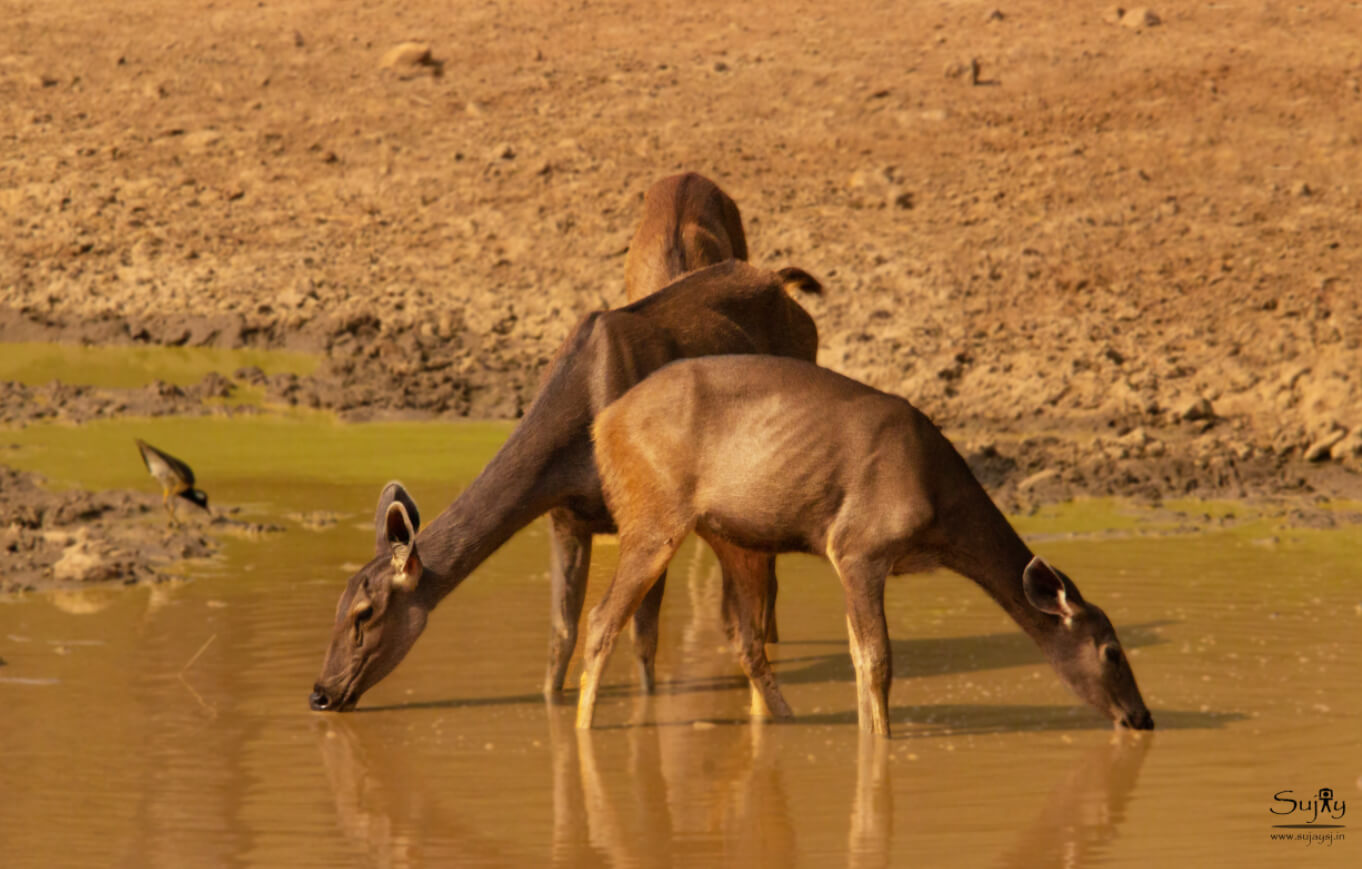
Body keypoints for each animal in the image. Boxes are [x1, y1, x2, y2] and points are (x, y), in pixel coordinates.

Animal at [309, 173, 817, 713]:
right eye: (338, 603)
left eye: (364, 612)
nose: (320, 693)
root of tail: (793, 296)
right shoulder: (564, 518)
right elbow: (561, 636)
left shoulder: (648, 512)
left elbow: (642, 637)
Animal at [580, 356, 1154, 740]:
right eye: (1111, 650)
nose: (1143, 717)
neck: (940, 517)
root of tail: (602, 425)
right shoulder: (859, 546)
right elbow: (877, 659)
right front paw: (881, 744)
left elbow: (859, 655)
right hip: (654, 513)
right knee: (602, 618)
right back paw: (582, 732)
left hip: (730, 535)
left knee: (745, 640)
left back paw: (788, 724)